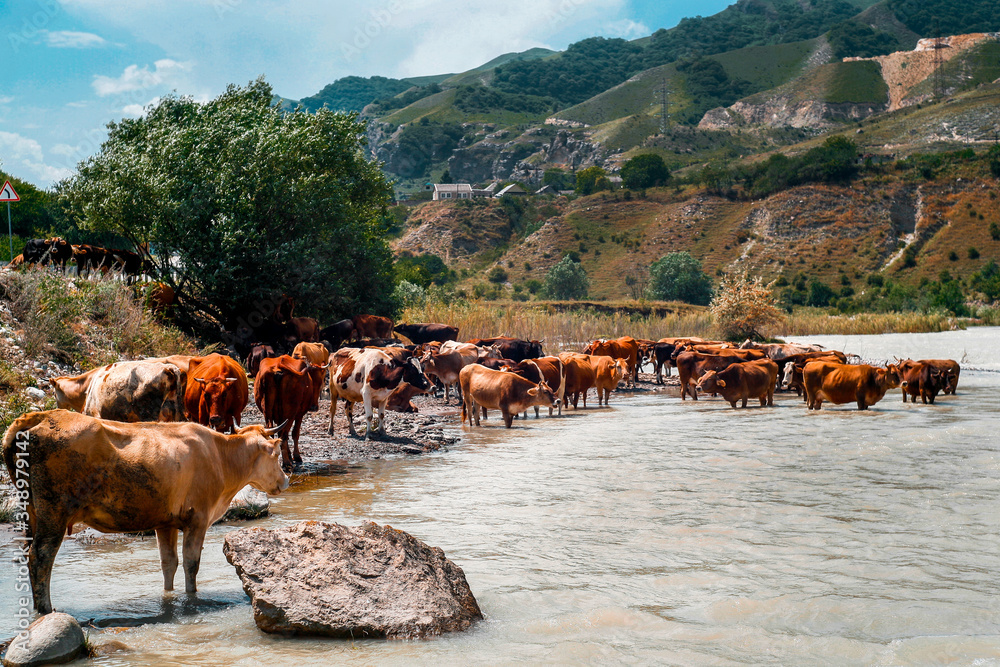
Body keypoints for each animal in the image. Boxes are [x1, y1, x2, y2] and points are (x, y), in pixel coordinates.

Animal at [2, 410, 288, 614]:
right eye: (277, 455)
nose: (286, 480)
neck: (220, 457)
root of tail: (40, 416)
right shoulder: (197, 518)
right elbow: (191, 563)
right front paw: (192, 598)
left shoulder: (166, 523)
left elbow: (169, 563)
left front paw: (169, 596)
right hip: (54, 512)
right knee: (40, 557)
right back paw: (46, 609)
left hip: (34, 513)